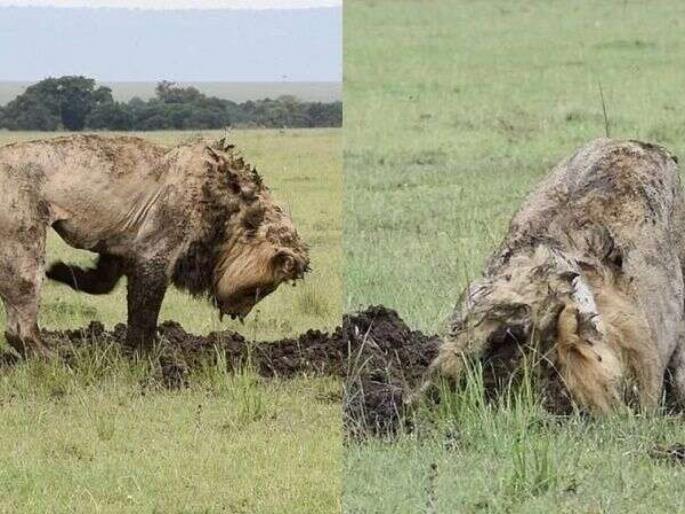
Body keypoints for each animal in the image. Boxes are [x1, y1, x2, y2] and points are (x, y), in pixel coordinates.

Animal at [0, 134, 309, 357]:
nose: (238, 314)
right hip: (23, 242)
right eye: (260, 289)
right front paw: (144, 354)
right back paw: (55, 358)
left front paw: (62, 271)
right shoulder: (154, 251)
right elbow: (145, 309)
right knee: (19, 328)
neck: (229, 207)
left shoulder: (121, 245)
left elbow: (103, 283)